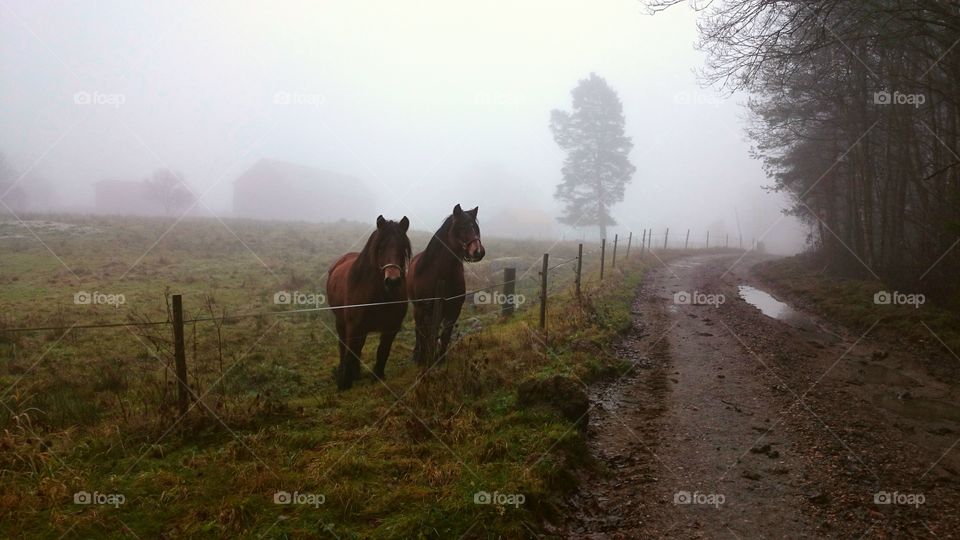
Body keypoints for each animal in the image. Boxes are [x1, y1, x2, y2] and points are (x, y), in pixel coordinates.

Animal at [326, 215, 411, 390]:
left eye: (403, 248)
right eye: (380, 247)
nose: (392, 281)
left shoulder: (391, 328)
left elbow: (382, 351)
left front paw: (377, 376)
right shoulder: (353, 326)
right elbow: (350, 351)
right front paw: (344, 383)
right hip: (341, 322)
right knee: (343, 345)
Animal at [407, 204, 485, 365]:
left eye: (476, 228)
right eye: (461, 227)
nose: (478, 252)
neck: (441, 275)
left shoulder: (454, 309)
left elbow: (445, 335)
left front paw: (440, 358)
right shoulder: (425, 309)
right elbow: (425, 334)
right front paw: (424, 358)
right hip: (418, 309)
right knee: (419, 329)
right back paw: (417, 354)